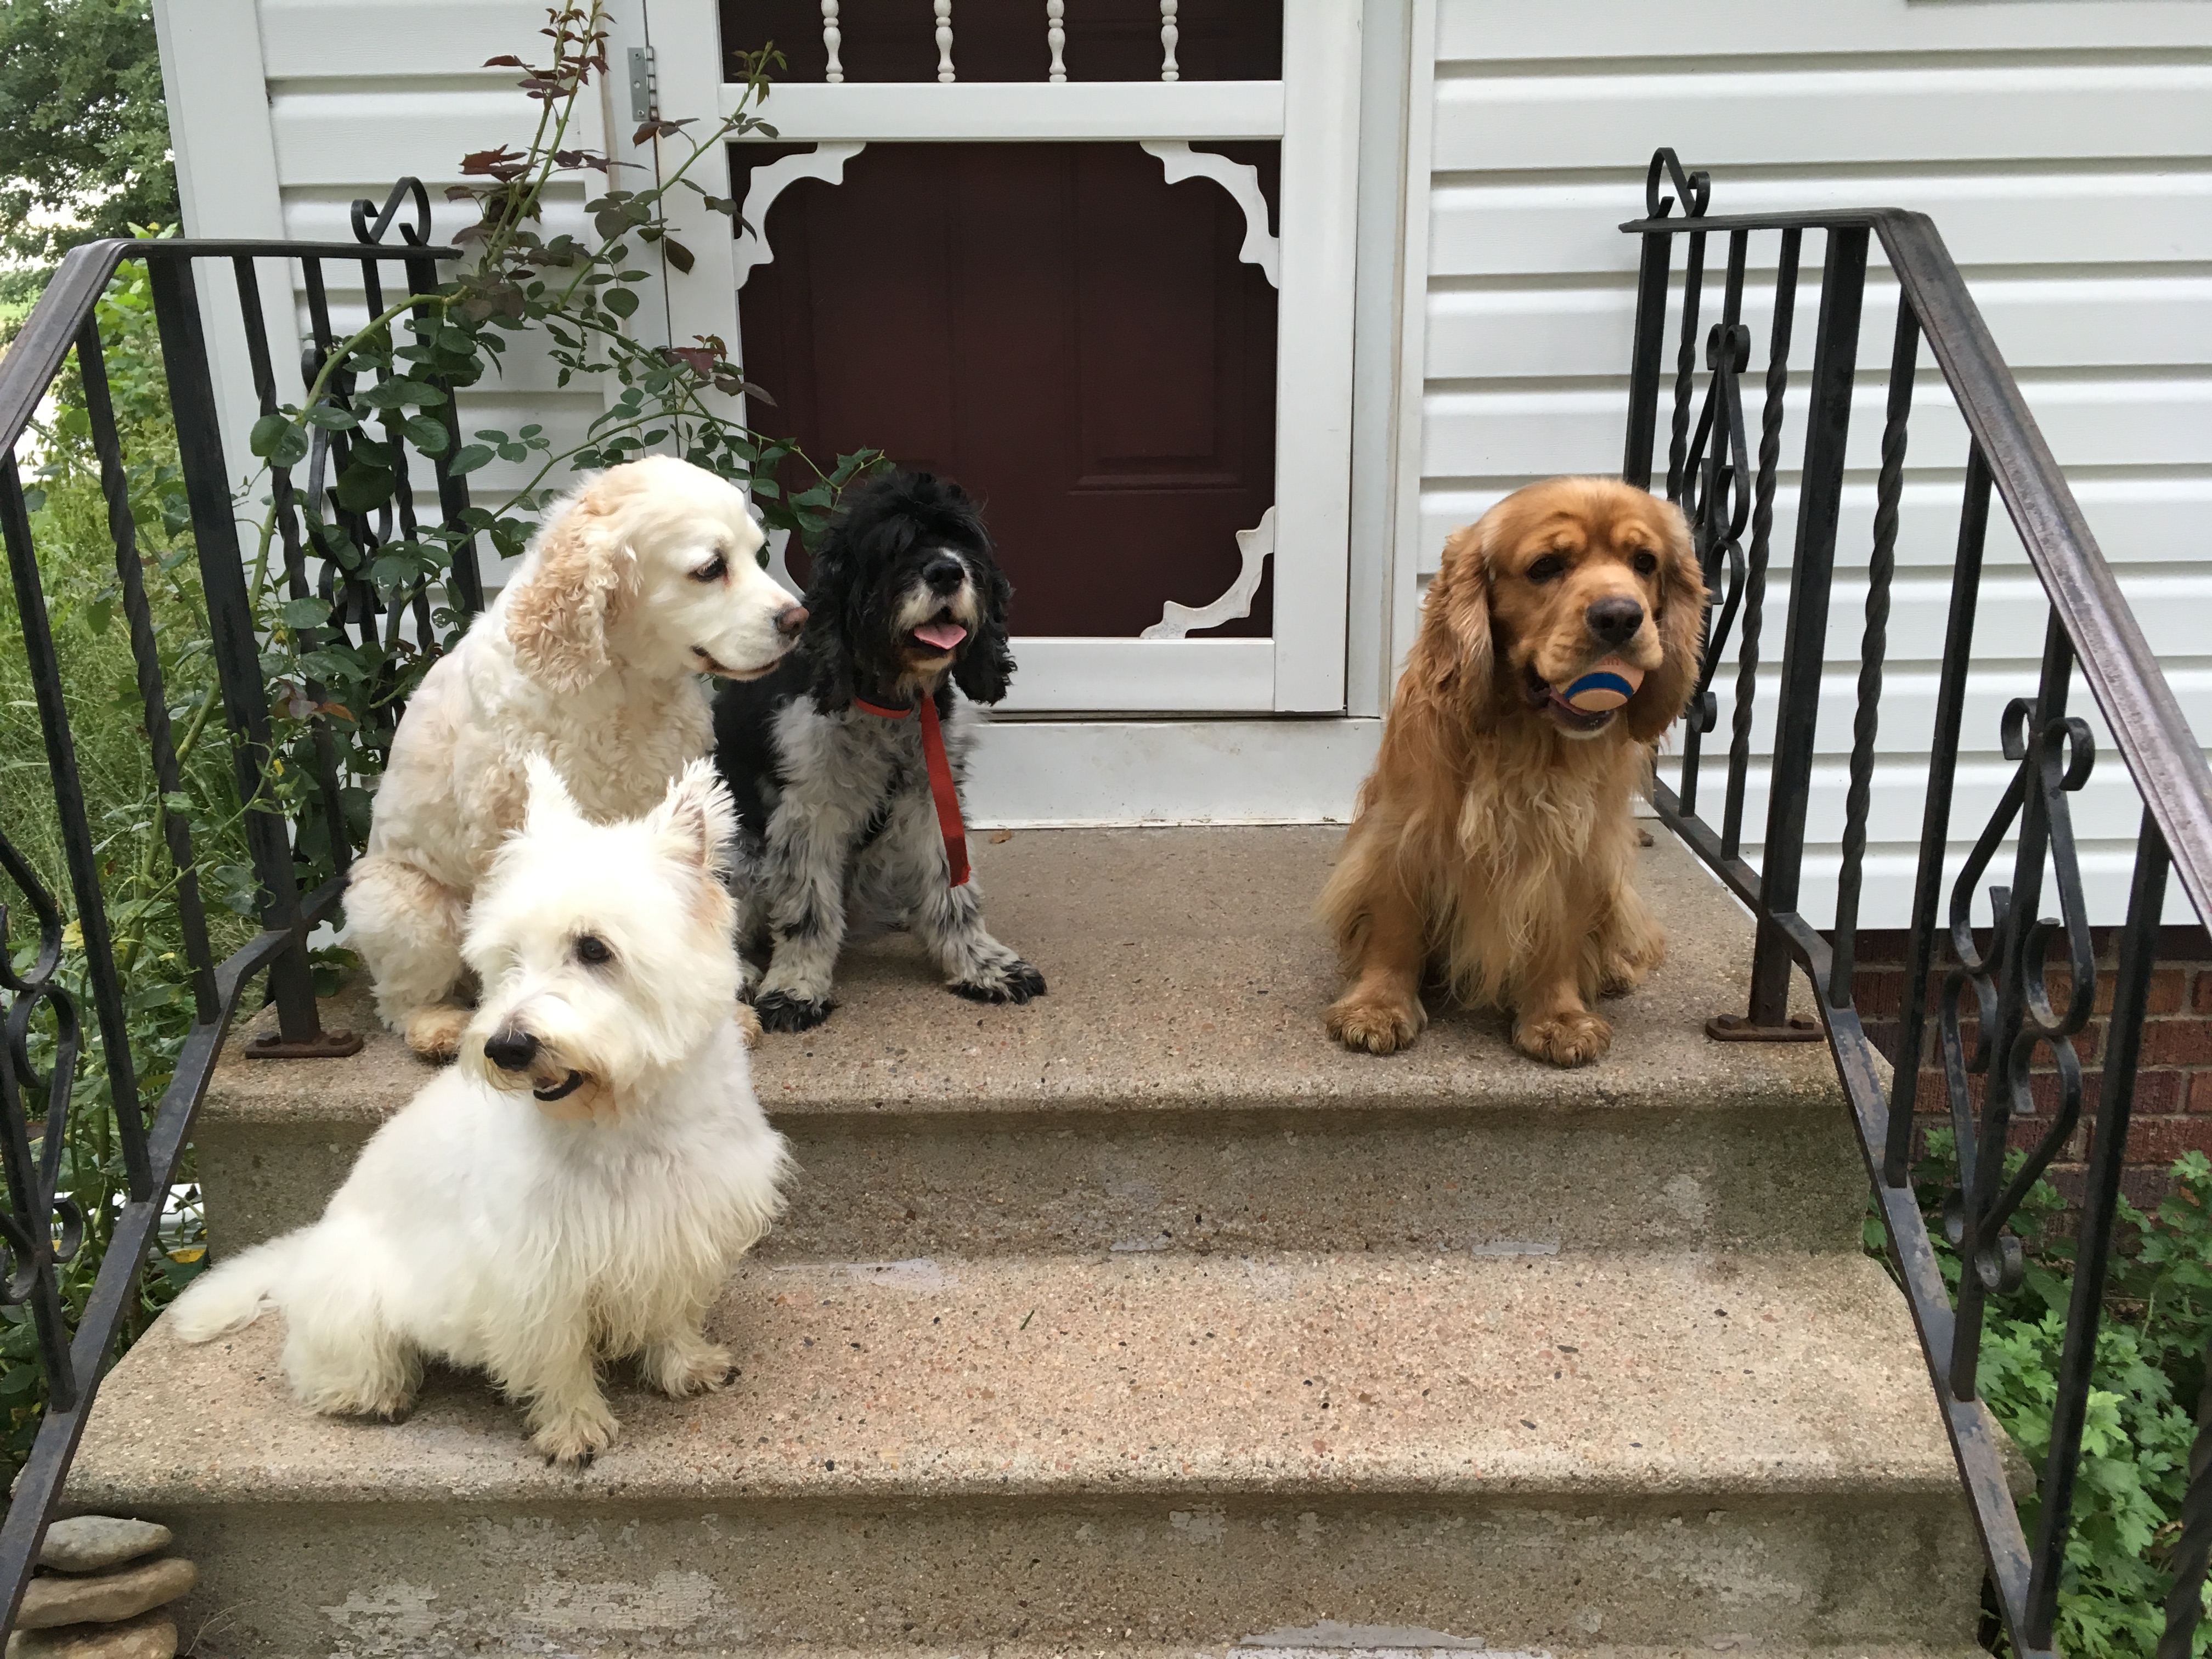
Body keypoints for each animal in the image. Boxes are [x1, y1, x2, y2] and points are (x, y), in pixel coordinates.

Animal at [171, 757, 790, 1466]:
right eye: (510, 955)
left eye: (594, 949)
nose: (506, 1048)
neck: (626, 1120)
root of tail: (305, 1254)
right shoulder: (537, 1268)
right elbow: (557, 1353)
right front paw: (574, 1426)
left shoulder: (683, 1226)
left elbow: (672, 1311)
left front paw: (686, 1366)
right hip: (356, 1294)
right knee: (333, 1362)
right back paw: (375, 1394)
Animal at [347, 455, 807, 1061]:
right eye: (711, 568)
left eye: (757, 553)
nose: (798, 621)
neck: (624, 688)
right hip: (399, 902)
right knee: (400, 999)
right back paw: (438, 1026)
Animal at [712, 470, 1044, 1033]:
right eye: (893, 546)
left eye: (964, 543)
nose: (947, 572)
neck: (889, 700)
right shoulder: (808, 813)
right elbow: (807, 912)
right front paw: (795, 989)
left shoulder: (932, 798)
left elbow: (953, 891)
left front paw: (982, 966)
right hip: (738, 852)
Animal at [1320, 476, 1704, 1067]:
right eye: (1545, 567)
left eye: (1645, 562)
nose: (1621, 617)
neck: (1529, 740)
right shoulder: (1405, 833)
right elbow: (1395, 925)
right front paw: (1377, 1008)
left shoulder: (1575, 847)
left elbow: (1560, 936)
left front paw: (1559, 1019)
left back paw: (1614, 968)